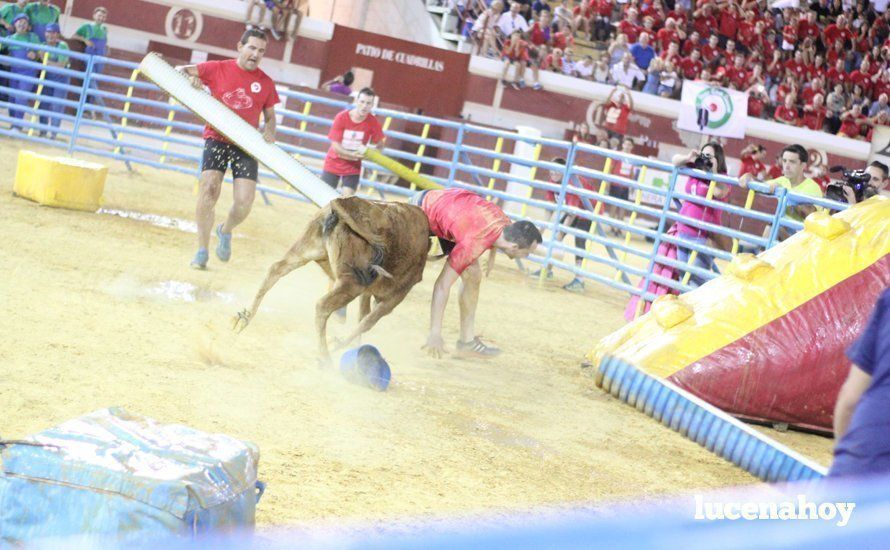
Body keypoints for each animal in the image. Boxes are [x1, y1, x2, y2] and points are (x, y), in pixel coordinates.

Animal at [232, 196, 430, 364]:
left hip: (304, 252)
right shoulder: (392, 299)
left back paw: (244, 318)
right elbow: (366, 322)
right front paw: (340, 345)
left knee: (275, 271)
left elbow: (362, 316)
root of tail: (344, 202)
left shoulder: (369, 292)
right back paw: (325, 357)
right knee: (322, 306)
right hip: (352, 283)